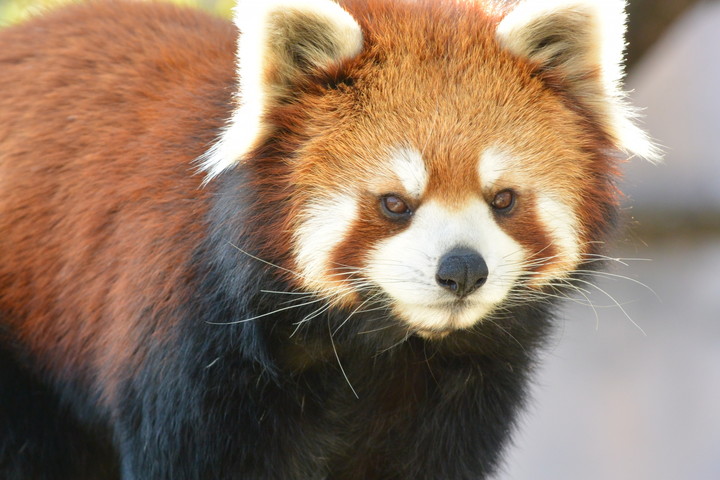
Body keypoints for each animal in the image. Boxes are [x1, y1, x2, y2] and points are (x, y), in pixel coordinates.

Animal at [0, 0, 660, 478]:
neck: (374, 349)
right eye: (394, 204)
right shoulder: (192, 353)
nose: (463, 270)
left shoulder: (462, 392)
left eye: (503, 200)